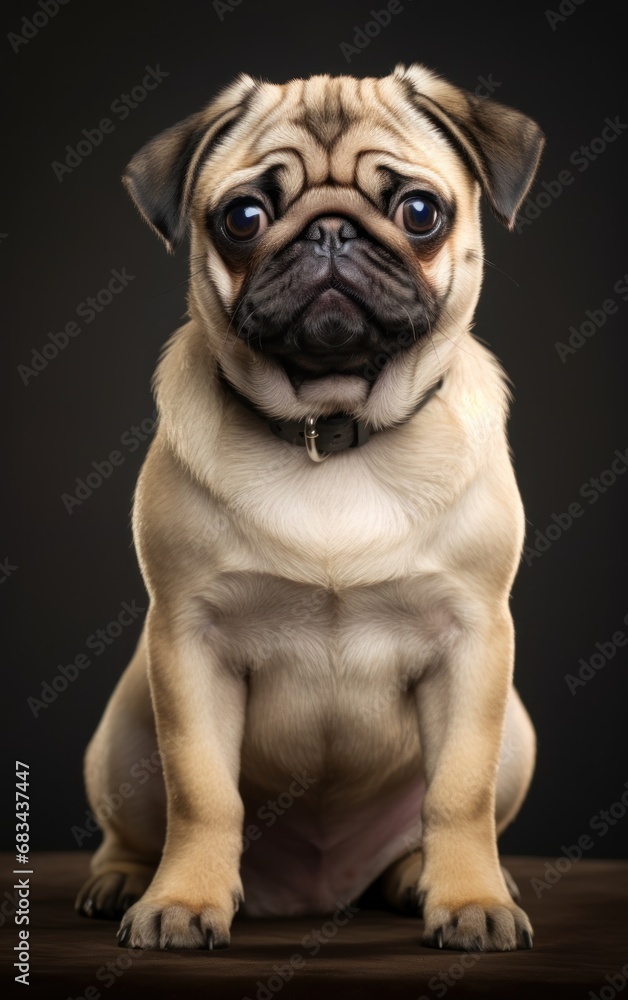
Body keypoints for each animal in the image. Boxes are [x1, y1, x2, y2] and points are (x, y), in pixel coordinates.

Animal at [75, 62, 544, 952]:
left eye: (420, 212)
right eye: (244, 218)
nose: (329, 232)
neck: (332, 433)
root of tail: (315, 892)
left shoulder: (474, 642)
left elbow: (456, 794)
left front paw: (471, 901)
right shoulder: (189, 643)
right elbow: (202, 792)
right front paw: (183, 902)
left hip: (517, 735)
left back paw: (425, 878)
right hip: (120, 736)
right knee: (135, 824)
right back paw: (121, 880)